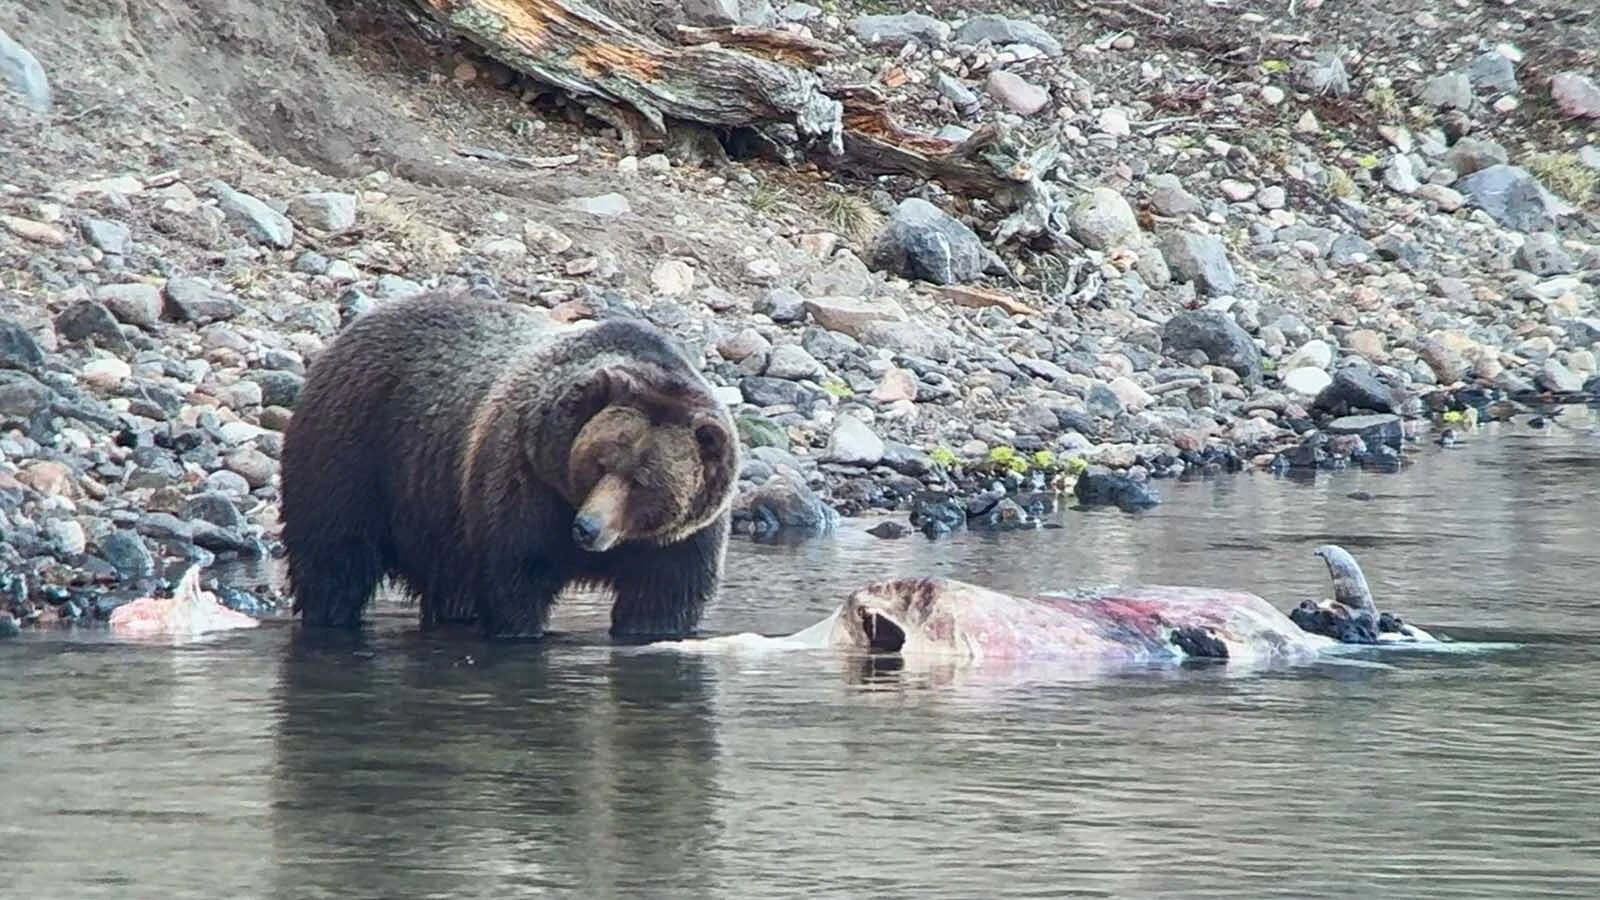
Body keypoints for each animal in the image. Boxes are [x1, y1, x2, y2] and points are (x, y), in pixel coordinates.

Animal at [276, 290, 740, 641]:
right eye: (599, 461)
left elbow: (662, 602)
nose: (586, 528)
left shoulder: (677, 541)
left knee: (447, 582)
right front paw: (518, 629)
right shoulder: (526, 480)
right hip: (352, 452)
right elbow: (515, 577)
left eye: (643, 480)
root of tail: (352, 330)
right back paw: (331, 615)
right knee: (335, 556)